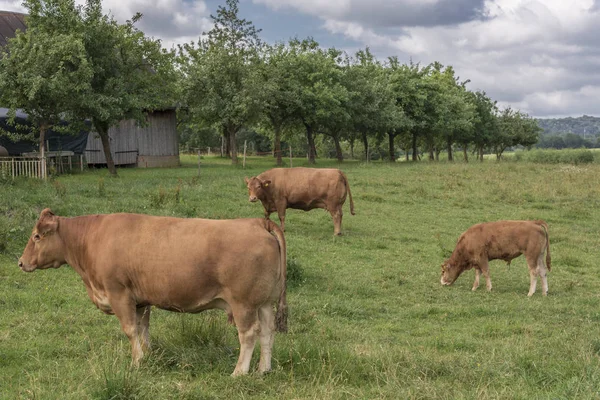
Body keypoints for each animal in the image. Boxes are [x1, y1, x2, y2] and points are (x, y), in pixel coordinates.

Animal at [18, 209, 288, 376]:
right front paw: (148, 355)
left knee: (249, 334)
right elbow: (142, 329)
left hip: (244, 304)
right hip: (265, 302)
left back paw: (239, 372)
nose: (21, 262)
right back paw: (263, 369)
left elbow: (129, 329)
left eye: (37, 236)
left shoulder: (119, 293)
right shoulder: (140, 300)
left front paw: (137, 362)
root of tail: (257, 222)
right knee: (267, 332)